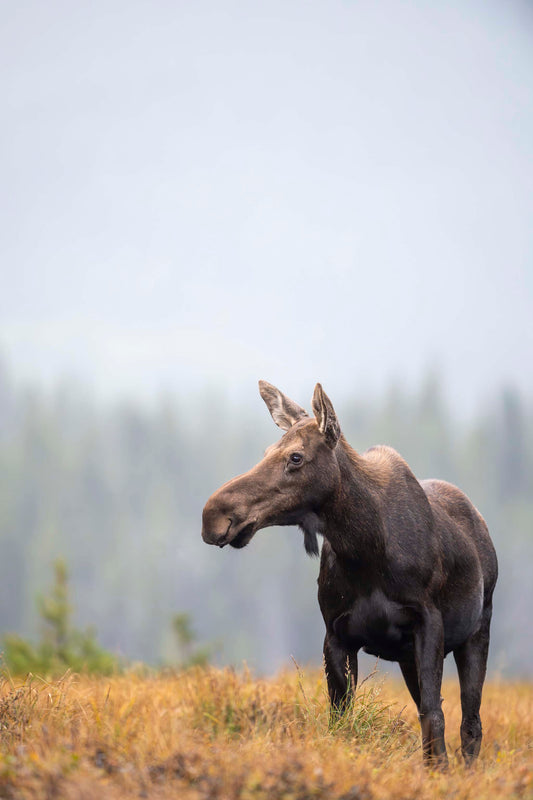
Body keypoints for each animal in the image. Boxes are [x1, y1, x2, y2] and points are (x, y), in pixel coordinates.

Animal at [201, 381, 498, 767]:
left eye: (295, 457)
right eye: (268, 450)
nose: (214, 515)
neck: (365, 549)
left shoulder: (428, 623)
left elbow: (435, 715)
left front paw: (441, 772)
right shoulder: (336, 633)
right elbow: (342, 719)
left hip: (477, 629)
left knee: (471, 723)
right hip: (408, 657)